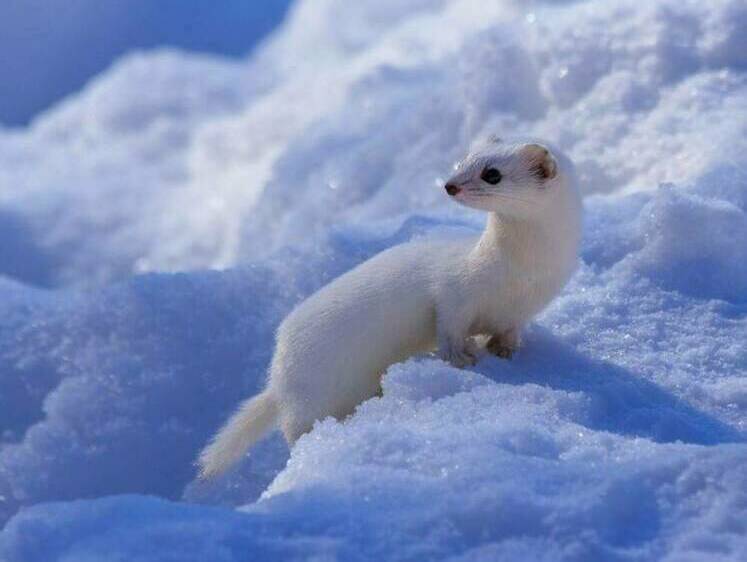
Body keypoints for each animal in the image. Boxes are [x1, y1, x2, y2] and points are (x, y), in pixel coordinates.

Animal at [199, 138, 584, 474]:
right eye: (463, 159)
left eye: (492, 173)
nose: (449, 186)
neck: (521, 277)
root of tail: (279, 378)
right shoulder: (453, 291)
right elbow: (448, 326)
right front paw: (462, 357)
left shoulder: (522, 310)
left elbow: (508, 332)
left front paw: (505, 351)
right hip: (310, 394)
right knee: (294, 428)